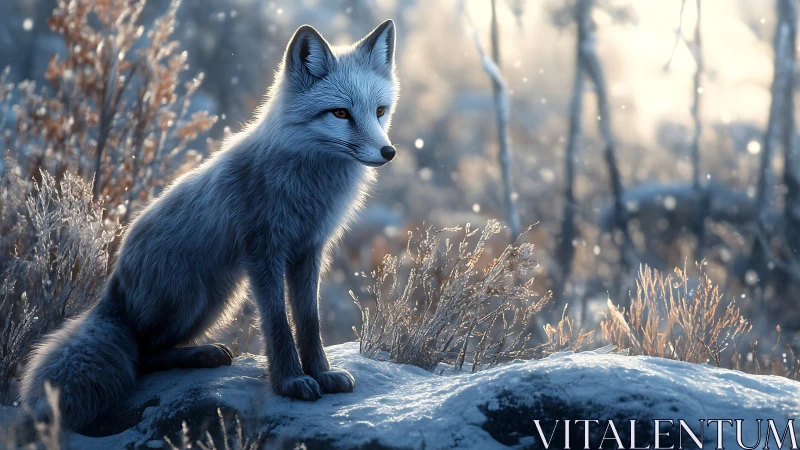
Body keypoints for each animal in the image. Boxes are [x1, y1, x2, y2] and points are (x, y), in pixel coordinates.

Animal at [19, 20, 399, 431]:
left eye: (379, 111)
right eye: (341, 113)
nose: (388, 152)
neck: (308, 180)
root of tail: (113, 285)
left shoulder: (309, 251)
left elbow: (309, 321)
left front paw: (322, 373)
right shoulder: (262, 252)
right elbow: (277, 323)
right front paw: (290, 381)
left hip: (216, 300)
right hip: (195, 299)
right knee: (141, 354)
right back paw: (202, 355)